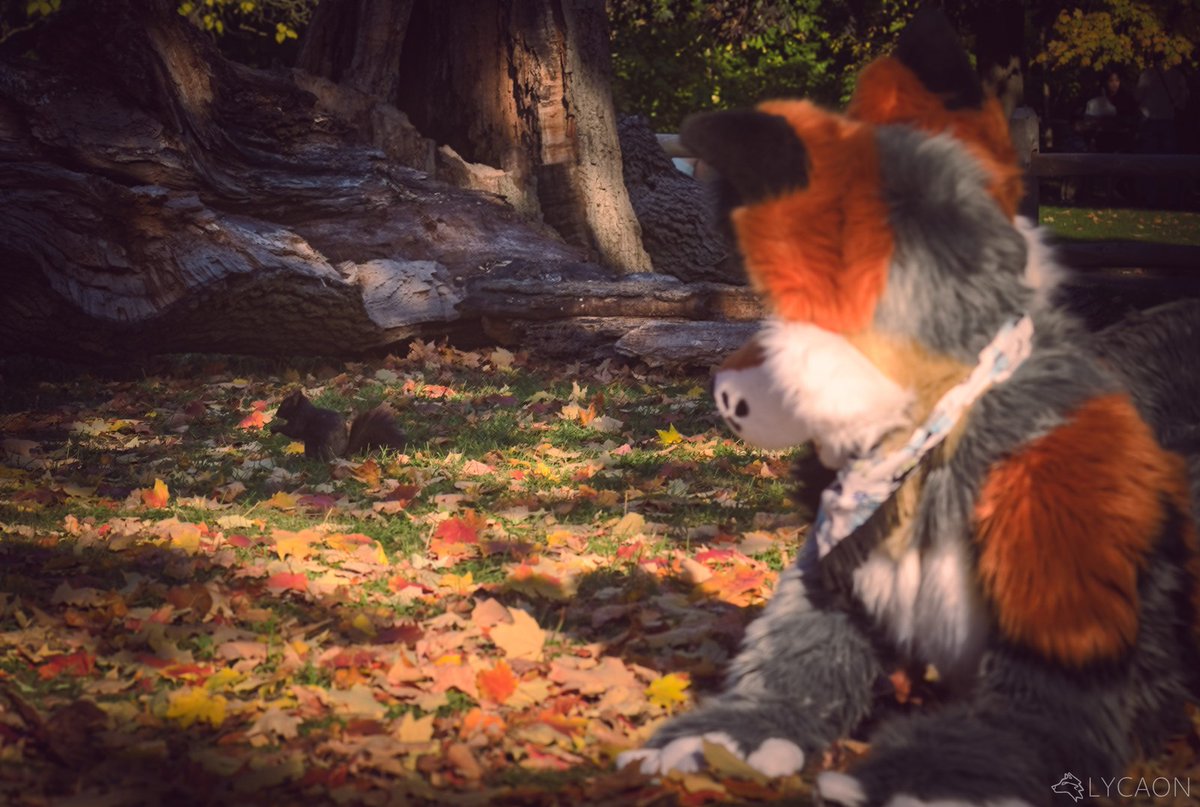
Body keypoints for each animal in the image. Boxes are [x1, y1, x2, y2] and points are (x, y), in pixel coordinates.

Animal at [270, 390, 405, 461]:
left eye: (285, 404)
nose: (276, 413)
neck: (301, 409)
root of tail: (342, 454)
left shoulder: (300, 420)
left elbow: (293, 431)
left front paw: (274, 428)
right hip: (311, 443)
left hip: (323, 446)